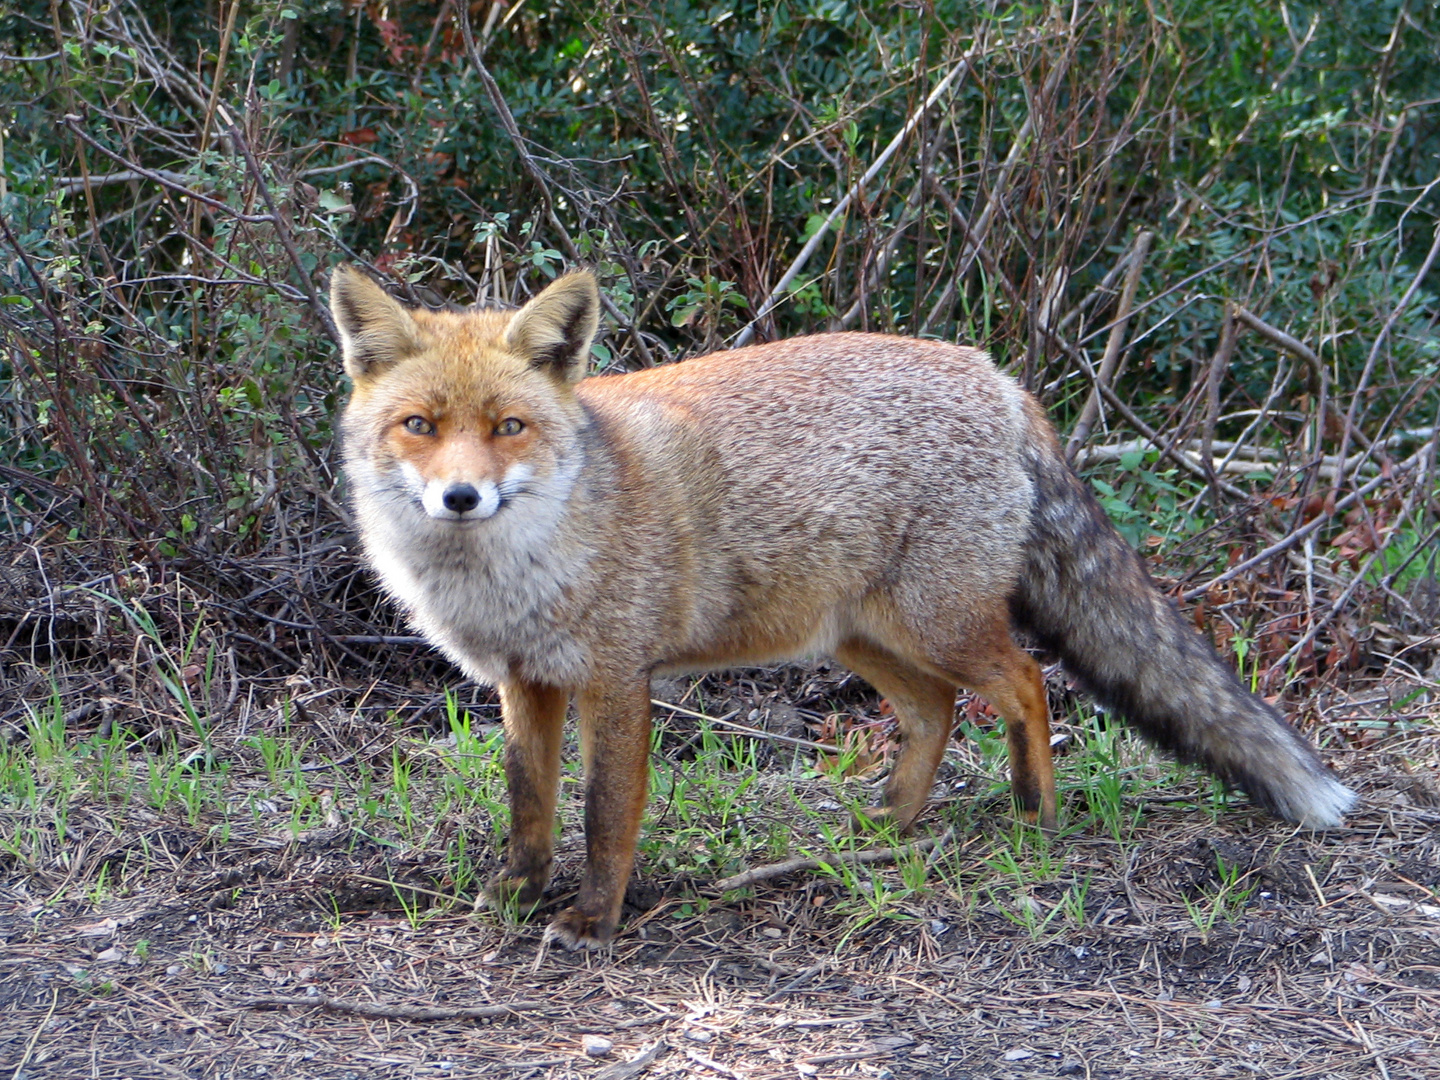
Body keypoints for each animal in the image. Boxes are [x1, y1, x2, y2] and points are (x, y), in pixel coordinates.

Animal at [331, 266, 1353, 950]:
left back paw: (1034, 816)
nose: (461, 497)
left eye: (508, 427)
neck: (511, 571)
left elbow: (604, 813)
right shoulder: (526, 682)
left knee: (1024, 683)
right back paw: (891, 822)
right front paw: (514, 893)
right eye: (420, 426)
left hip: (937, 622)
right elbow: (530, 803)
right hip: (857, 638)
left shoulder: (616, 678)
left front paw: (594, 919)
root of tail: (1001, 380)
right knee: (937, 711)